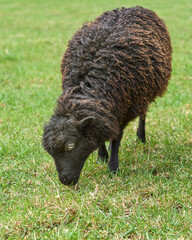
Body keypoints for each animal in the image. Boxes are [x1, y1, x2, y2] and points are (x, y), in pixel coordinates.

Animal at [42, 5, 172, 186]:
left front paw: (113, 168)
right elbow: (100, 132)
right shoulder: (104, 112)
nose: (65, 181)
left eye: (70, 146)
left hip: (142, 94)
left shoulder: (124, 108)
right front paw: (102, 156)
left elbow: (117, 138)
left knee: (143, 114)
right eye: (50, 152)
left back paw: (141, 138)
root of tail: (132, 7)